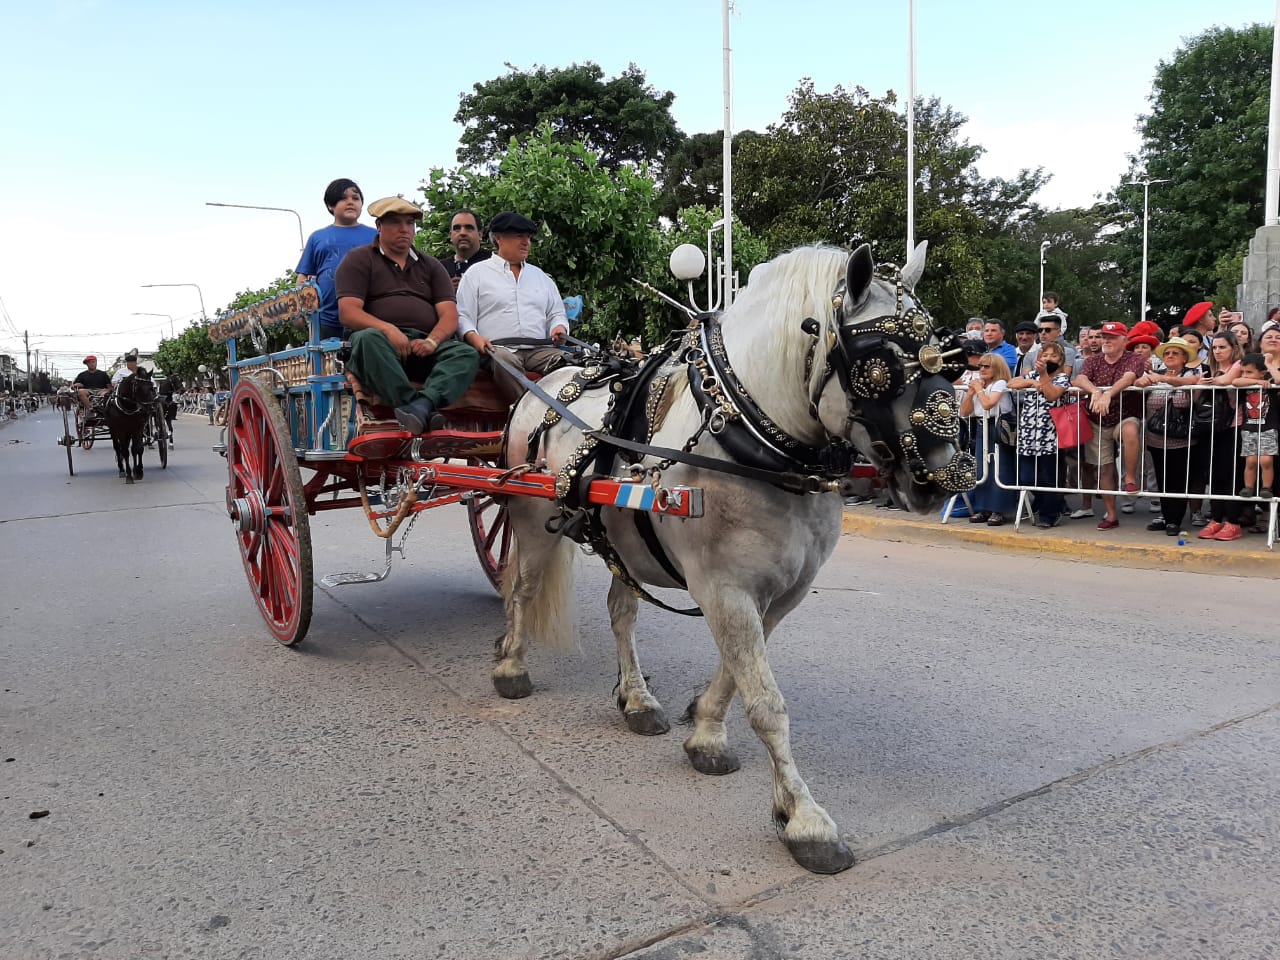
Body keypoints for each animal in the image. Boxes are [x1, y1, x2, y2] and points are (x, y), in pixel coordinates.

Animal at [493, 242, 975, 874]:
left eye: (951, 360)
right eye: (881, 364)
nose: (950, 475)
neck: (756, 443)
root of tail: (543, 380)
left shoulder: (780, 593)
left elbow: (737, 671)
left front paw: (705, 731)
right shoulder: (724, 588)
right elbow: (767, 702)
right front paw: (806, 819)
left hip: (623, 540)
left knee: (622, 610)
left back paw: (636, 697)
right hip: (530, 520)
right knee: (522, 589)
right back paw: (511, 665)